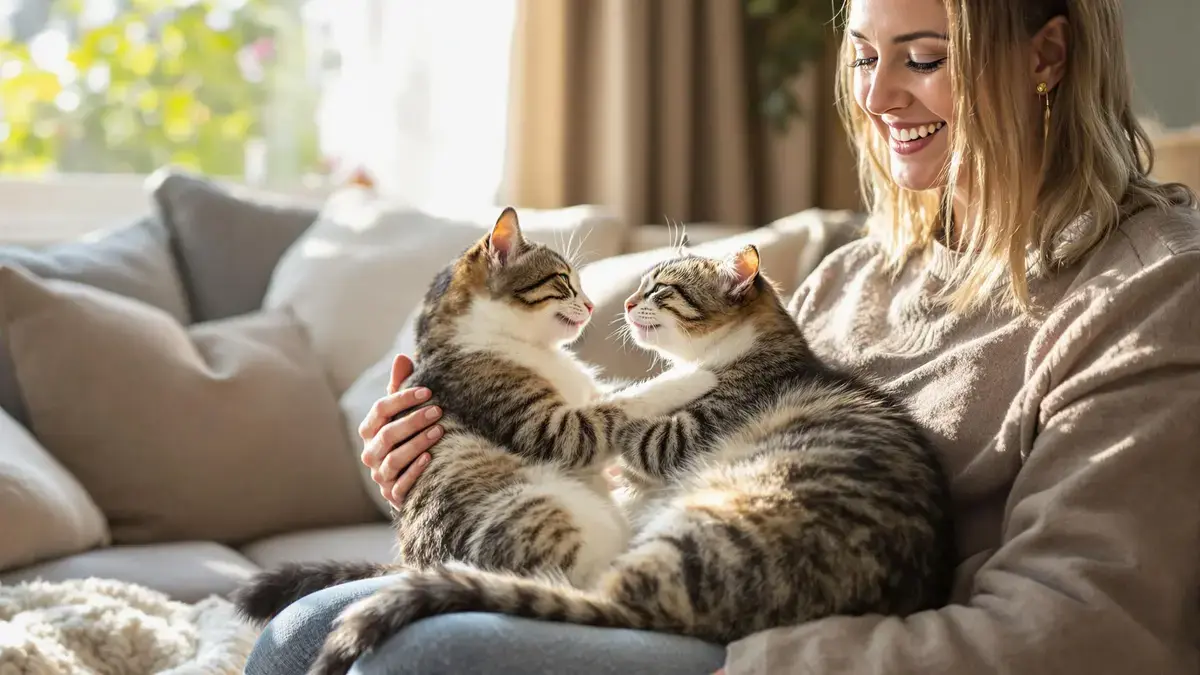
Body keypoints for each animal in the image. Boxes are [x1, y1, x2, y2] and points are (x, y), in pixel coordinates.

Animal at [236, 206, 720, 624]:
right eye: (563, 282)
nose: (590, 306)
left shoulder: (587, 392)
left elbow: (614, 391)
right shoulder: (552, 428)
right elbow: (616, 408)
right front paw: (693, 375)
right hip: (553, 513)